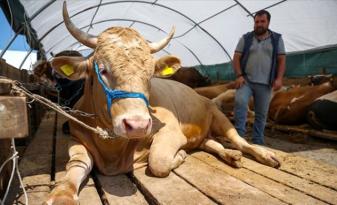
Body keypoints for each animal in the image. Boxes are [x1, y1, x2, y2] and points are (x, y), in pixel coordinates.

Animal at [45, 2, 280, 204]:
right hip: (203, 134)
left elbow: (158, 162)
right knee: (213, 144)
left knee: (240, 141)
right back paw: (230, 155)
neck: (113, 148)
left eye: (150, 75)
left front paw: (180, 155)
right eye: (102, 70)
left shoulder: (171, 131)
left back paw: (264, 154)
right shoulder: (76, 138)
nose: (137, 125)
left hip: (219, 118)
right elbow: (76, 164)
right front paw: (62, 194)